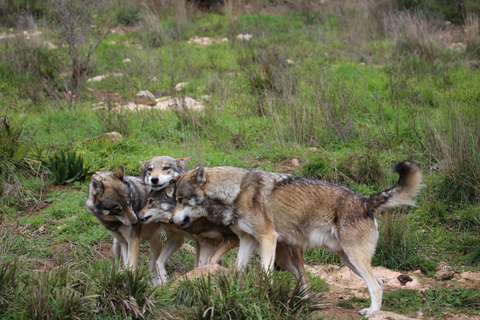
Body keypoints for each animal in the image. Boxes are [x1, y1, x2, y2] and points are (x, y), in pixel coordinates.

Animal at [140, 185, 308, 290]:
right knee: (299, 276)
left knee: (305, 278)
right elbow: (160, 262)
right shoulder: (198, 242)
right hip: (281, 259)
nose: (138, 215)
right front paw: (166, 281)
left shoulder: (229, 239)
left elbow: (209, 261)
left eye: (151, 202)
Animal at [170, 160, 424, 316]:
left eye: (181, 200)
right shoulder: (248, 240)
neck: (235, 192)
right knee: (379, 283)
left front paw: (264, 295)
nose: (171, 221)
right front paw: (234, 292)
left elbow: (265, 273)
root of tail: (366, 200)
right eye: (174, 200)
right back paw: (373, 311)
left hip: (354, 259)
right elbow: (238, 270)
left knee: (376, 286)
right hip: (349, 261)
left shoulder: (268, 238)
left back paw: (371, 313)